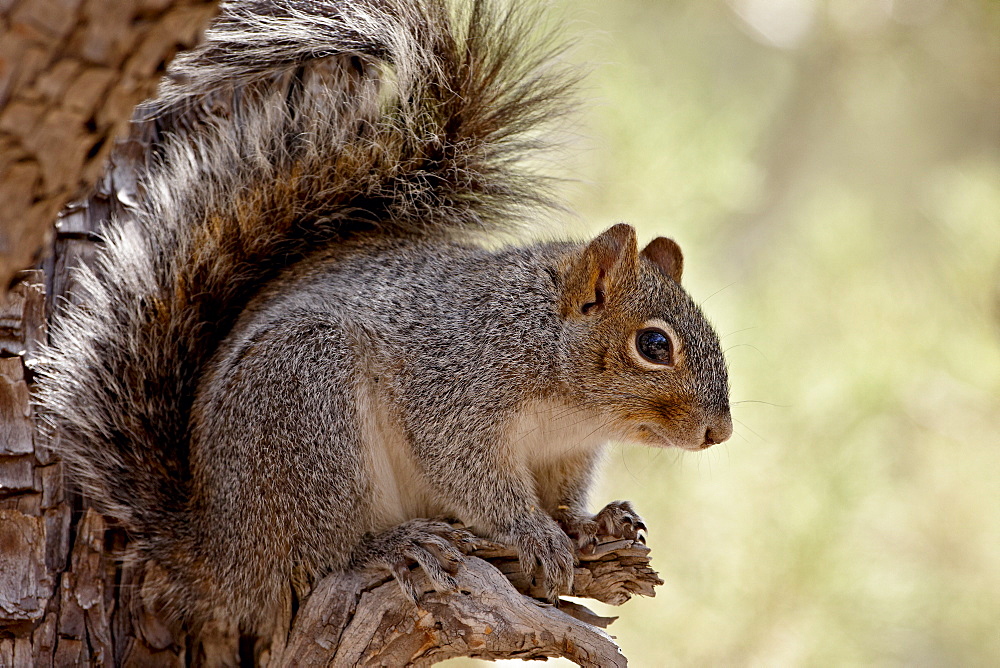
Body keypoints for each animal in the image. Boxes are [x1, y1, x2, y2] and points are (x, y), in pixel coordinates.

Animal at [37, 0, 736, 656]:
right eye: (654, 344)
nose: (720, 433)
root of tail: (222, 554)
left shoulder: (564, 454)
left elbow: (562, 497)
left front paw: (588, 525)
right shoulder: (453, 385)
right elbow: (468, 470)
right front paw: (534, 535)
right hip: (310, 410)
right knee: (324, 552)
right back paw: (393, 547)